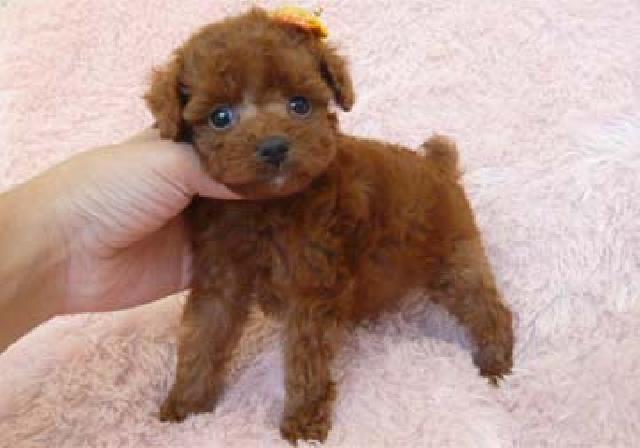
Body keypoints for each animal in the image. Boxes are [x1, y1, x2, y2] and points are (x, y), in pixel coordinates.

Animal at [145, 7, 513, 444]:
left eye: (300, 105)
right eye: (221, 117)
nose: (274, 147)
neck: (264, 207)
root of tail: (439, 167)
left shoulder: (312, 288)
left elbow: (305, 361)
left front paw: (303, 424)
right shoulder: (221, 278)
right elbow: (202, 338)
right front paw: (185, 409)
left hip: (454, 255)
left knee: (484, 305)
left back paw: (496, 363)